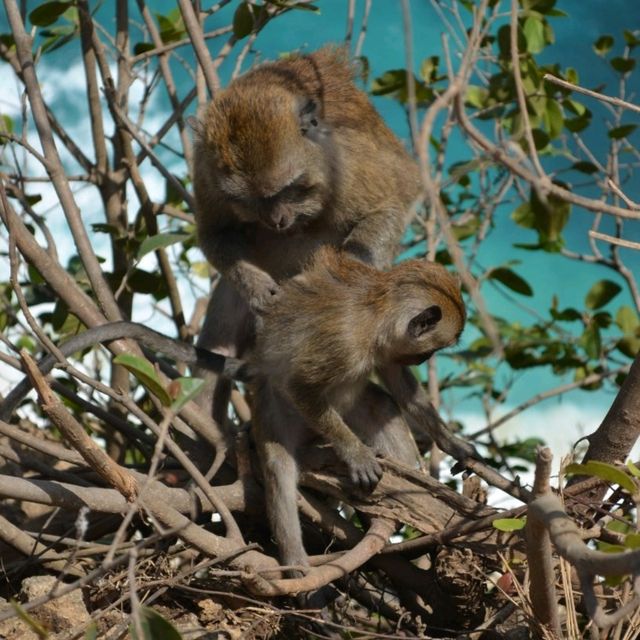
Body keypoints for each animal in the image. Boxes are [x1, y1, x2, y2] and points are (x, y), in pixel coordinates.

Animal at [190, 47, 422, 428]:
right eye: (249, 201)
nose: (278, 220)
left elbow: (388, 207)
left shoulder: (348, 162)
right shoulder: (205, 170)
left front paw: (352, 270)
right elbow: (215, 233)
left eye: (288, 189)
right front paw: (255, 285)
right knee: (218, 342)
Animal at [251, 248, 470, 576]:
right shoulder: (344, 343)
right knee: (279, 465)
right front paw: (355, 454)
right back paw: (296, 563)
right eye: (430, 351)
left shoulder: (389, 345)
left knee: (381, 405)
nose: (423, 360)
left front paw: (451, 442)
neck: (377, 314)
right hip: (272, 406)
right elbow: (300, 386)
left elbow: (399, 383)